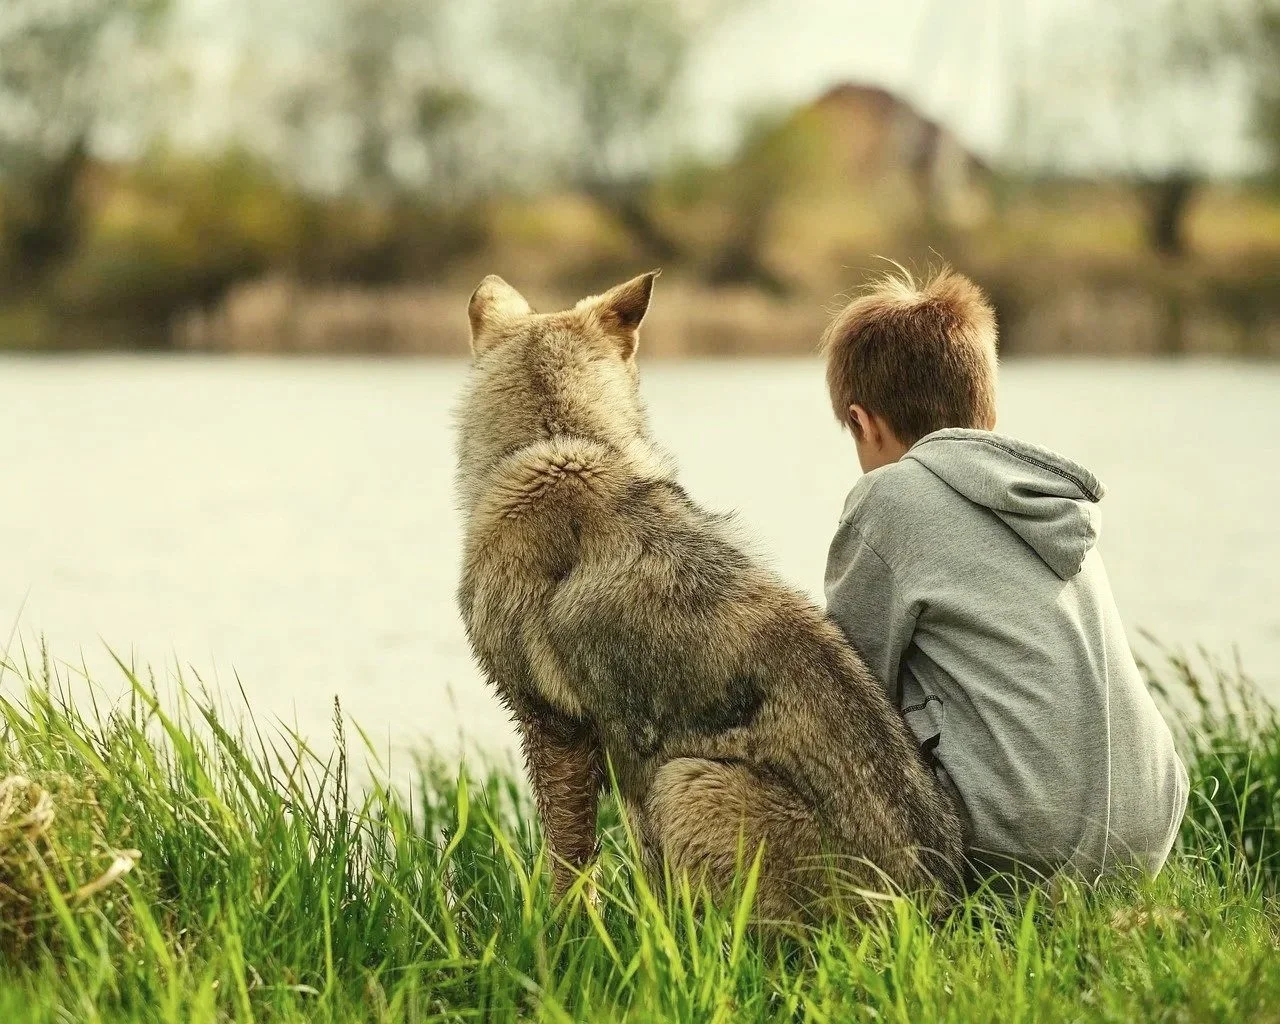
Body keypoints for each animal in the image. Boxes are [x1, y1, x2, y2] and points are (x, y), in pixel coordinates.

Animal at [455, 271, 965, 921]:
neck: (559, 441)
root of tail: (936, 911)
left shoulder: (553, 728)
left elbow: (567, 866)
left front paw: (561, 933)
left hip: (687, 783)